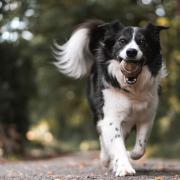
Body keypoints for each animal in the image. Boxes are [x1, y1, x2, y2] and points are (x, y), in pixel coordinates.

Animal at [52, 19, 168, 176]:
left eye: (142, 42)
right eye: (122, 41)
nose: (131, 52)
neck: (132, 89)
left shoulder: (147, 116)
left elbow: (140, 147)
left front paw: (130, 155)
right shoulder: (110, 116)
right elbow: (116, 143)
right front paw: (124, 167)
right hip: (97, 113)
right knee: (102, 136)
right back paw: (106, 158)